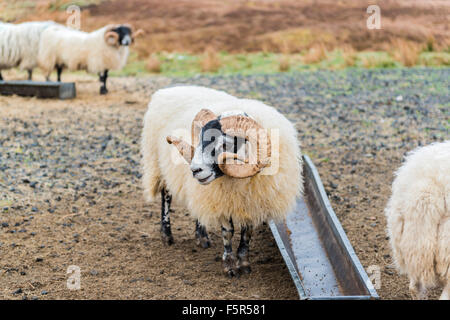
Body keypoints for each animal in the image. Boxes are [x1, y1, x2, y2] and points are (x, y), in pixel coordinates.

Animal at [141, 85, 302, 278]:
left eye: (225, 145)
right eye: (199, 140)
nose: (195, 170)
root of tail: (169, 89)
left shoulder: (252, 202)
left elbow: (247, 233)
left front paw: (244, 264)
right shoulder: (222, 200)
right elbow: (228, 232)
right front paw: (230, 267)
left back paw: (202, 237)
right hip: (160, 164)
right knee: (166, 195)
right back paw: (167, 235)